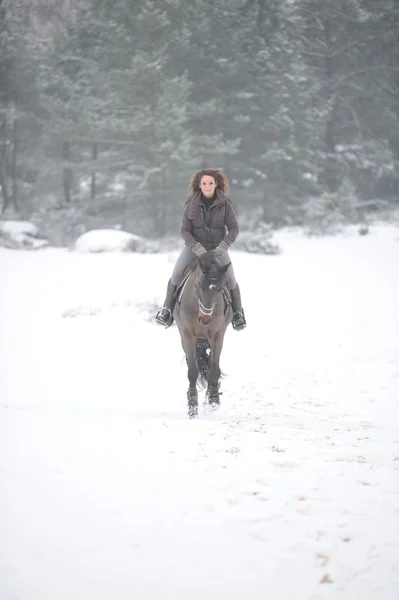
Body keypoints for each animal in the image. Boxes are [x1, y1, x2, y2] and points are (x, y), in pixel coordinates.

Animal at [173, 251, 234, 420]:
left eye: (220, 290)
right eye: (200, 286)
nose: (205, 319)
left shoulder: (217, 335)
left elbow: (213, 368)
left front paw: (213, 399)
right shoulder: (188, 335)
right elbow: (193, 371)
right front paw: (192, 406)